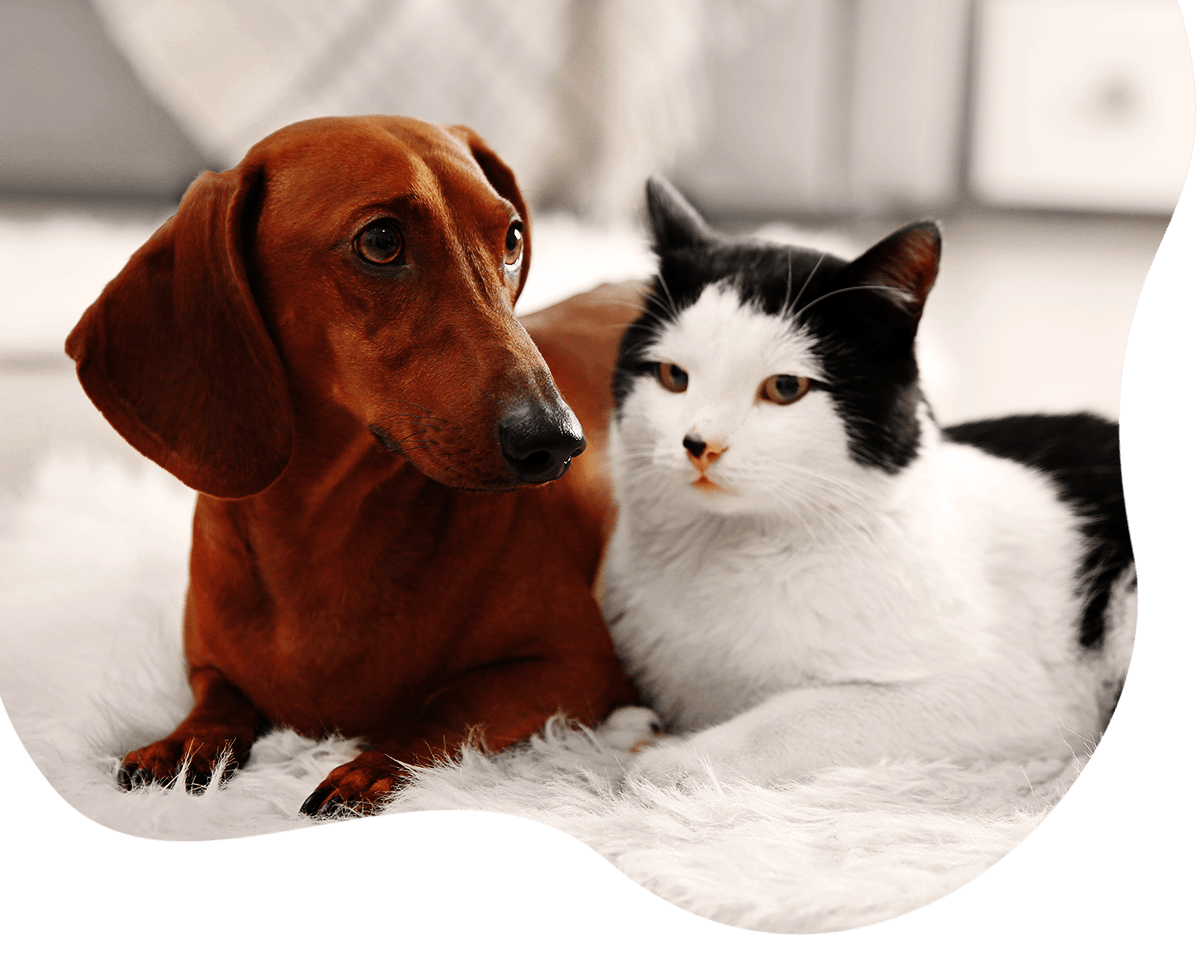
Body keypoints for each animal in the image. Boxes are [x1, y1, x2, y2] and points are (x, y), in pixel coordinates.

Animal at [68, 114, 638, 816]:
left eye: (510, 237)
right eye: (382, 241)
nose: (557, 442)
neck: (323, 533)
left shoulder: (576, 664)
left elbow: (447, 706)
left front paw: (372, 766)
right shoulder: (208, 665)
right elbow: (218, 698)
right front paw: (186, 742)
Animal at [600, 180, 1132, 787]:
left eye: (785, 388)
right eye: (673, 377)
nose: (700, 444)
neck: (725, 551)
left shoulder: (1010, 696)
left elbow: (794, 718)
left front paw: (675, 761)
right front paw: (633, 729)